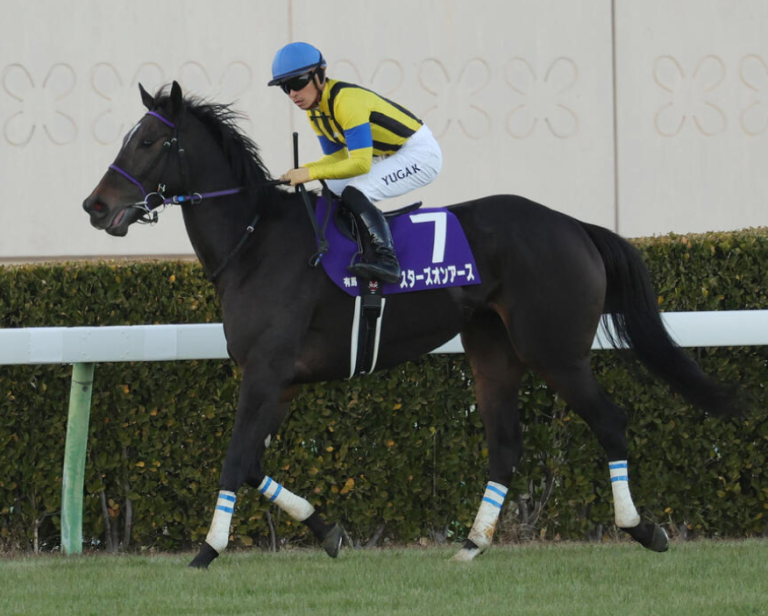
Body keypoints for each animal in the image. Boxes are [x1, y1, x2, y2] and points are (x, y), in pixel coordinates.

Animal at [83, 82, 737, 569]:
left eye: (148, 140)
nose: (95, 206)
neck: (256, 243)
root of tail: (576, 225)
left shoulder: (265, 372)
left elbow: (234, 459)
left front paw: (207, 549)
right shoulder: (280, 381)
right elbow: (251, 465)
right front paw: (326, 531)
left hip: (556, 351)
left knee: (610, 421)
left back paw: (643, 528)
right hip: (492, 350)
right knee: (506, 443)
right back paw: (471, 545)